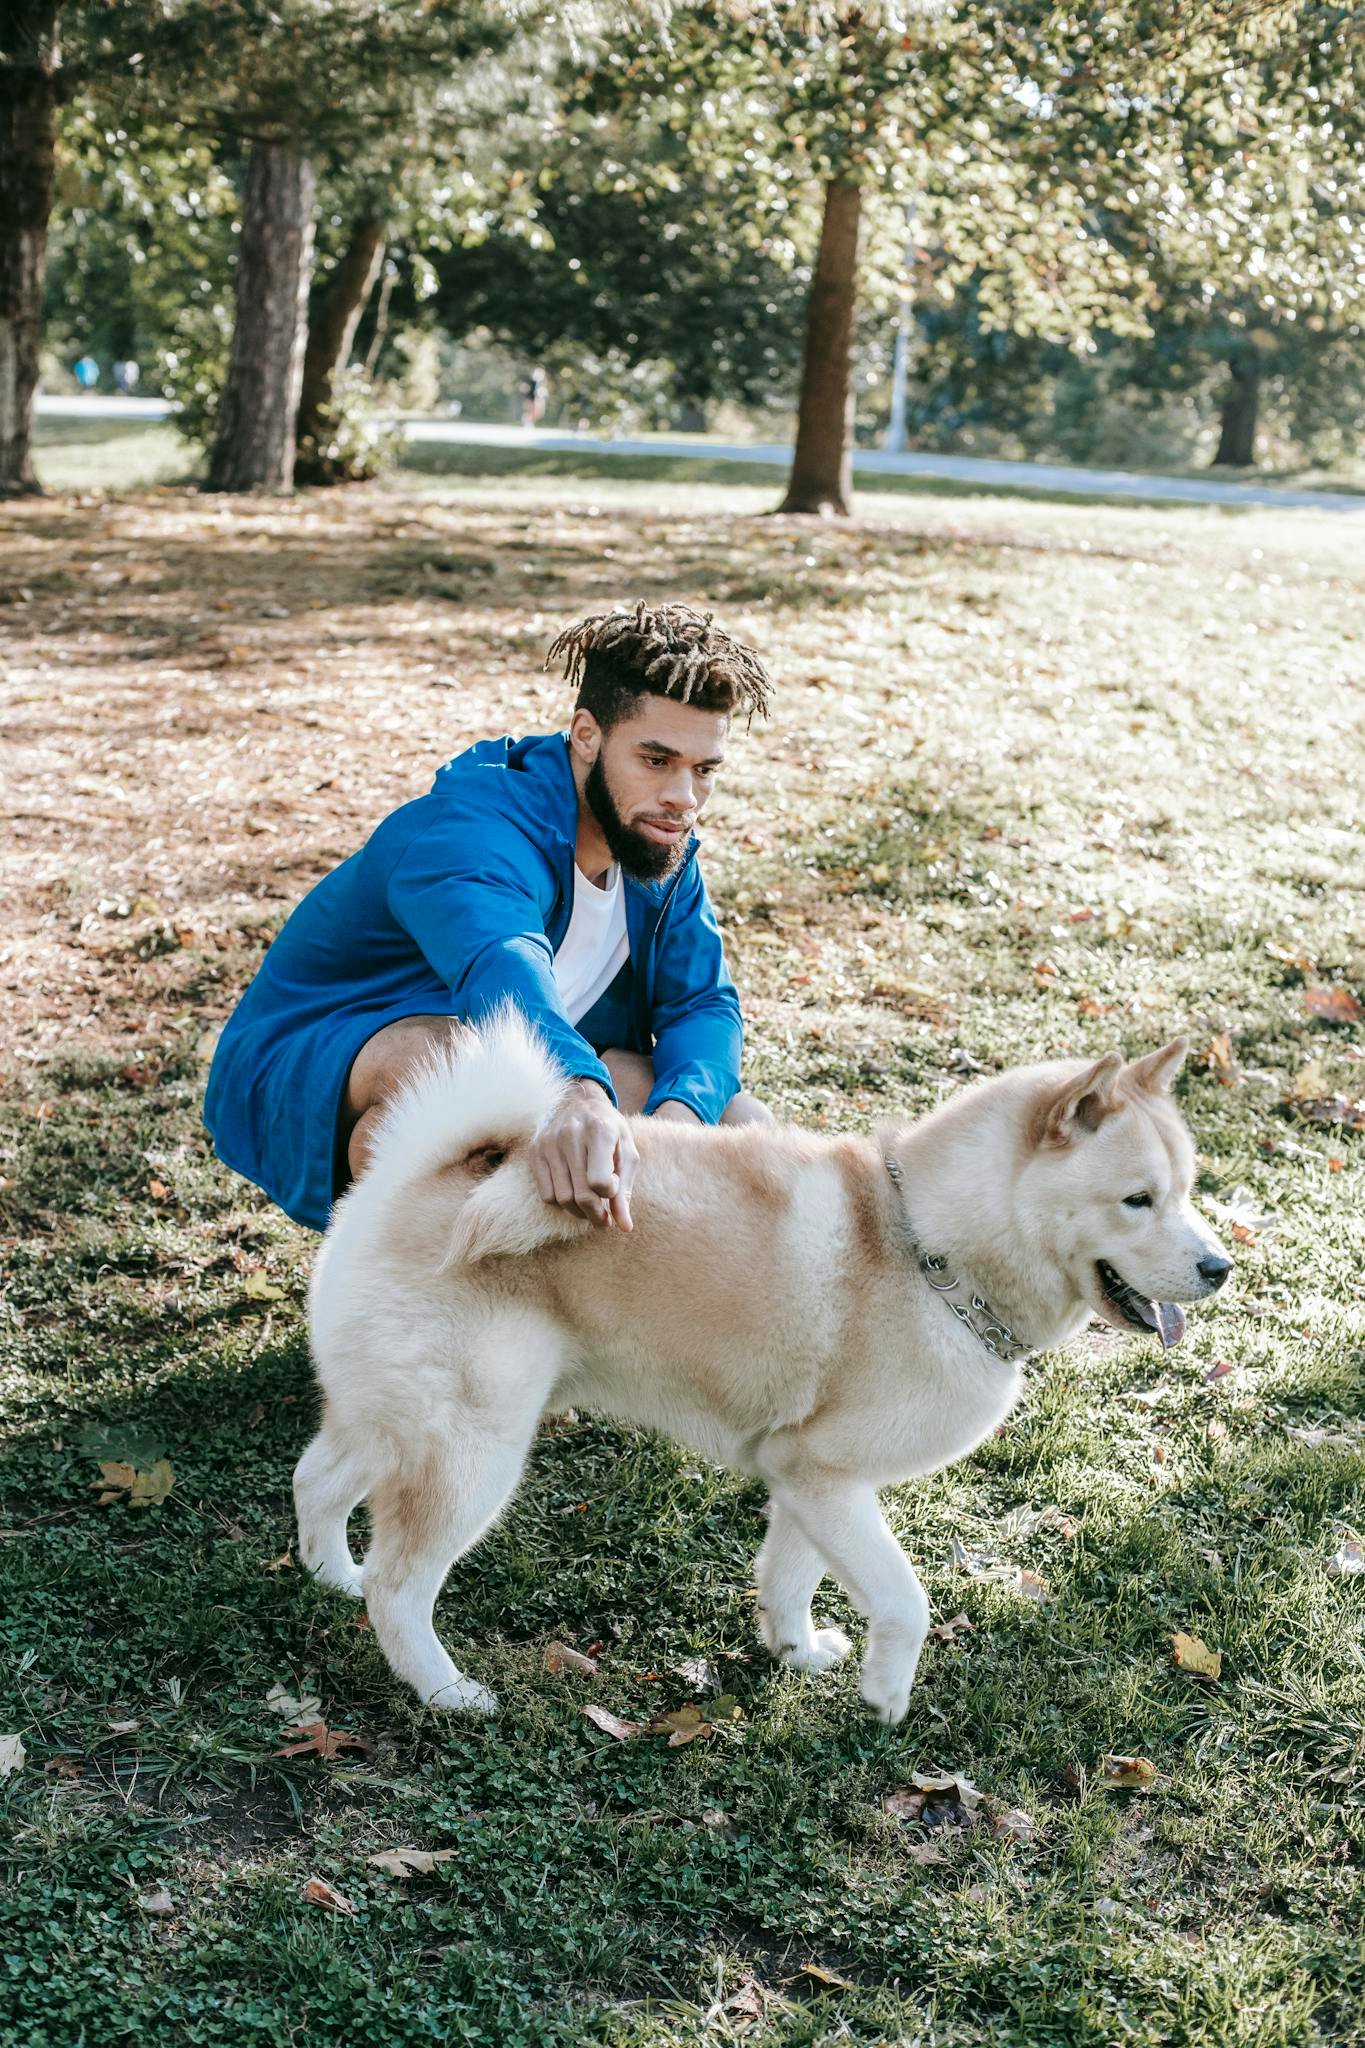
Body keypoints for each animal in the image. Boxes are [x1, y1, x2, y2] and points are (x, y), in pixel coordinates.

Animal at [294, 1015, 1236, 1720]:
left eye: (1186, 1190)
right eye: (1137, 1200)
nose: (1219, 1268)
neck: (929, 1251)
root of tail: (421, 1175)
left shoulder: (807, 1477)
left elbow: (789, 1576)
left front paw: (795, 1651)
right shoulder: (823, 1478)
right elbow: (904, 1599)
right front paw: (885, 1696)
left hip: (390, 1421)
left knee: (317, 1480)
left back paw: (330, 1575)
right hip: (474, 1453)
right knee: (400, 1586)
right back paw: (445, 1689)